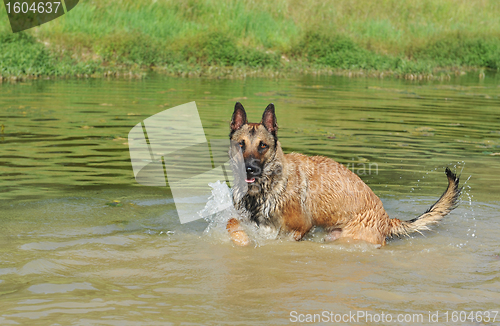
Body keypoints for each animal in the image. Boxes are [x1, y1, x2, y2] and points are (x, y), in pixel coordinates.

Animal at [227, 103, 460, 246]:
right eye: (241, 145)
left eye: (263, 146)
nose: (250, 169)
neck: (268, 184)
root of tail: (386, 219)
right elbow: (234, 225)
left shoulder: (299, 229)